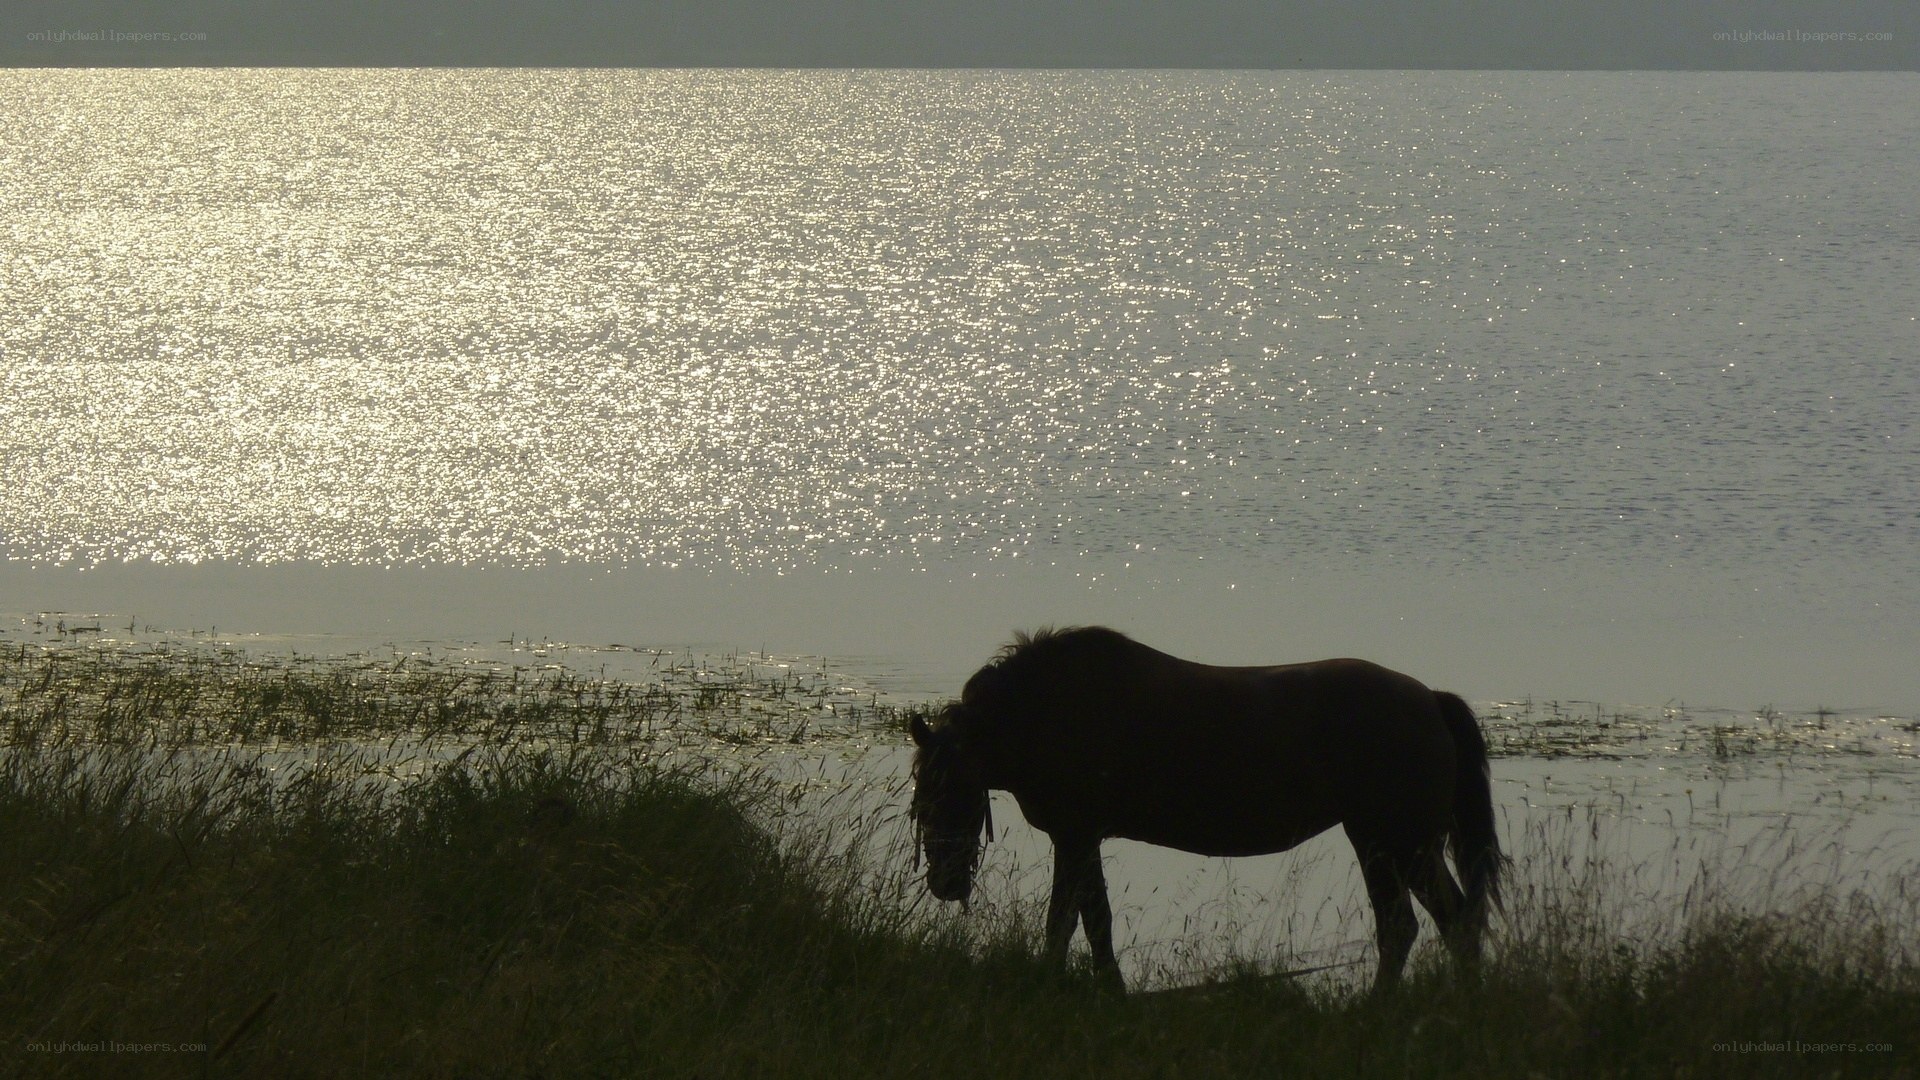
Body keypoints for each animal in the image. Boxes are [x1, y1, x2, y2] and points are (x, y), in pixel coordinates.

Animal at [909, 626, 1502, 991]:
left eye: (954, 793)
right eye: (921, 800)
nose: (945, 883)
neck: (1046, 709)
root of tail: (1430, 700)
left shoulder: (1076, 836)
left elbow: (1074, 922)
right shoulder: (1080, 839)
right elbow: (1087, 921)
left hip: (1388, 843)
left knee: (1410, 926)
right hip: (1405, 847)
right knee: (1449, 921)